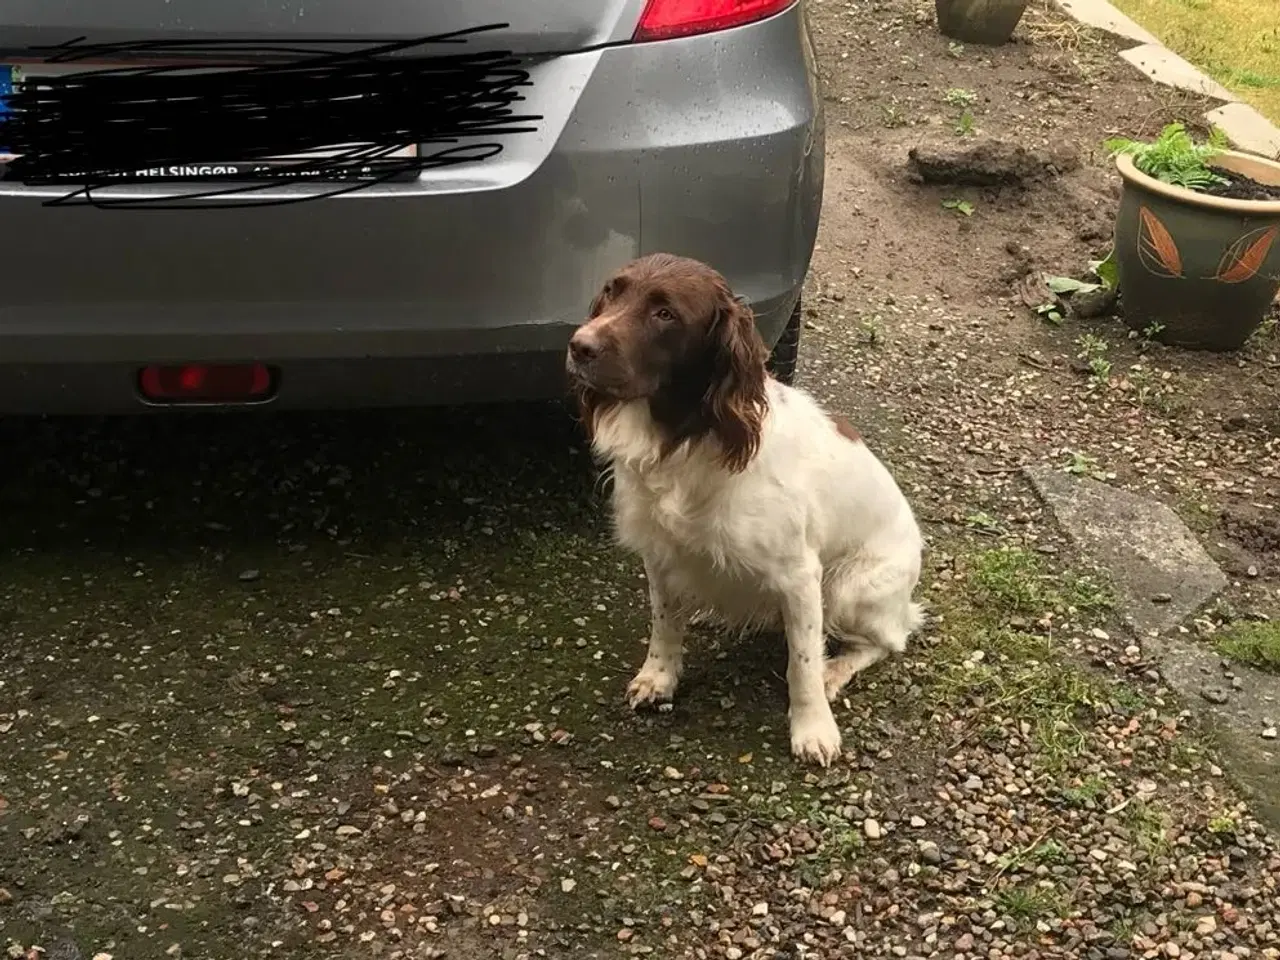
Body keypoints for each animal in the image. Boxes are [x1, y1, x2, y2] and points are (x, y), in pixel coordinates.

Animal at [568, 253, 921, 768]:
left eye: (665, 313)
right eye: (613, 291)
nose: (579, 346)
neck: (689, 437)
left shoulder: (800, 575)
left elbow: (802, 663)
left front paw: (813, 728)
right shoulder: (661, 553)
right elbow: (664, 623)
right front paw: (659, 677)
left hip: (850, 589)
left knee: (886, 640)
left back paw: (837, 669)